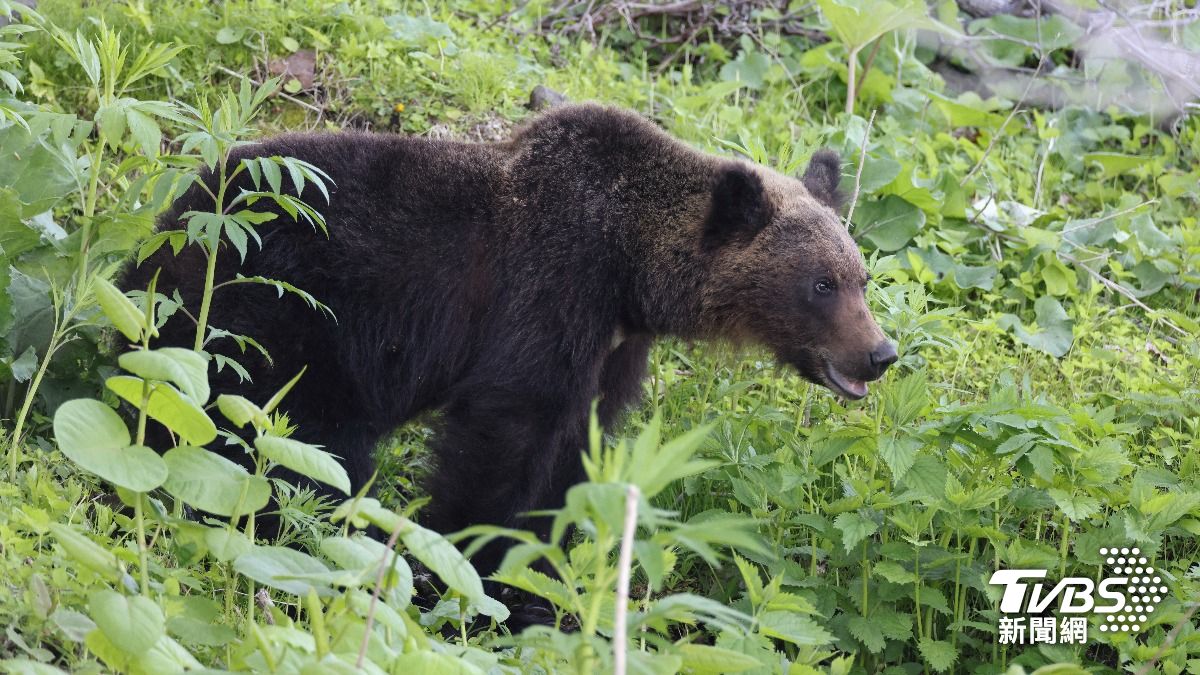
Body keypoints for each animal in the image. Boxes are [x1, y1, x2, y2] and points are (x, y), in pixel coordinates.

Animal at [123, 103, 896, 581]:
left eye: (860, 277)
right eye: (822, 284)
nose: (881, 353)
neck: (629, 272)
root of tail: (174, 220)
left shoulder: (610, 348)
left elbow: (574, 448)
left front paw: (539, 573)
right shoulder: (545, 291)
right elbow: (506, 431)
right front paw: (463, 560)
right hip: (276, 308)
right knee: (280, 433)